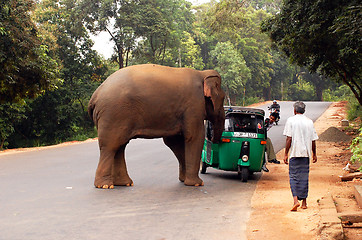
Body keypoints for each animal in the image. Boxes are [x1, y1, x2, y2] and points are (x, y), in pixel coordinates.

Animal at [87, 64, 225, 189]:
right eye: (223, 98)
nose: (213, 139)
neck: (202, 73)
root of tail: (94, 96)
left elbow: (173, 141)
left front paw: (183, 179)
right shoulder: (193, 104)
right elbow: (194, 137)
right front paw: (196, 183)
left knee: (120, 146)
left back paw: (124, 183)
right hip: (114, 114)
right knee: (110, 146)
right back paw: (105, 186)